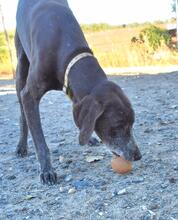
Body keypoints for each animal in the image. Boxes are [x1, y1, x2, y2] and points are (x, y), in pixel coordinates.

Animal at [15, 0, 141, 185]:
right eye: (117, 126)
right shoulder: (29, 95)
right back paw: (21, 146)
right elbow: (39, 140)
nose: (138, 155)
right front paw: (46, 170)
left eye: (132, 124)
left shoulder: (73, 91)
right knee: (22, 113)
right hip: (21, 66)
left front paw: (87, 137)